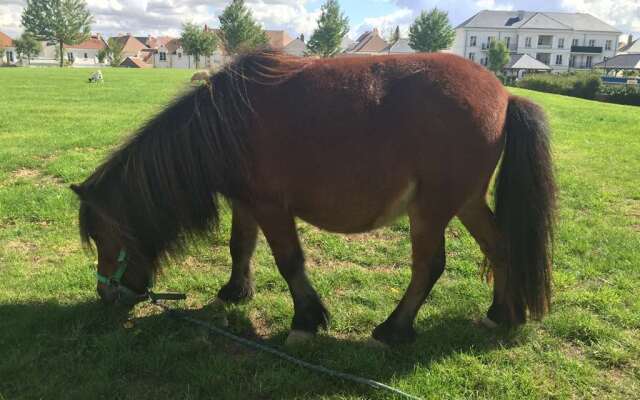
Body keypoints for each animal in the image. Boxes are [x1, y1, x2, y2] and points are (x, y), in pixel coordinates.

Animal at [72, 49, 556, 344]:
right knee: (500, 247)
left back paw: (394, 329)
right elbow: (239, 247)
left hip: (432, 209)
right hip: (468, 202)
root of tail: (506, 94)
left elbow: (289, 262)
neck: (225, 124)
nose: (105, 295)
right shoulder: (246, 204)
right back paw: (502, 313)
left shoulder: (272, 208)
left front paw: (306, 320)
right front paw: (235, 291)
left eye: (102, 238)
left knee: (429, 266)